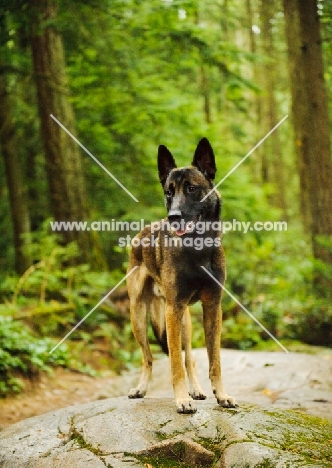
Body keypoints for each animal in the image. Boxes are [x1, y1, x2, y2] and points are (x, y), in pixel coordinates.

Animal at [126, 138, 237, 414]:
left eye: (192, 189)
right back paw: (141, 388)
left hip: (185, 321)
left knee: (190, 358)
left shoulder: (212, 307)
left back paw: (196, 389)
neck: (197, 249)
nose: (173, 217)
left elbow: (213, 360)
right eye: (169, 192)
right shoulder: (172, 309)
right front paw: (181, 399)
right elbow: (174, 361)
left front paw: (221, 395)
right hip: (139, 315)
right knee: (148, 357)